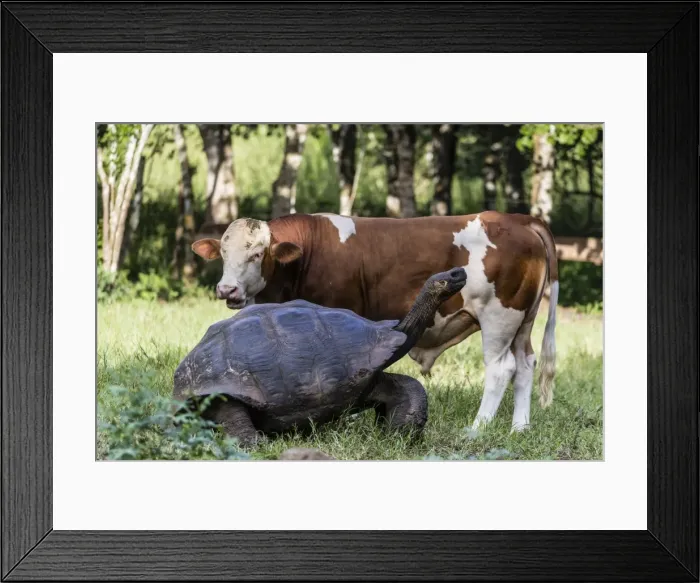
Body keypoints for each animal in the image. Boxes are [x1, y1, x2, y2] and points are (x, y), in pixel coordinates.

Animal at [191, 211, 559, 432]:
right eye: (223, 254)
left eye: (257, 254)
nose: (227, 289)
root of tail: (518, 219)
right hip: (522, 322)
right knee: (526, 365)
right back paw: (519, 427)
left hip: (499, 317)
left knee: (501, 369)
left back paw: (477, 428)